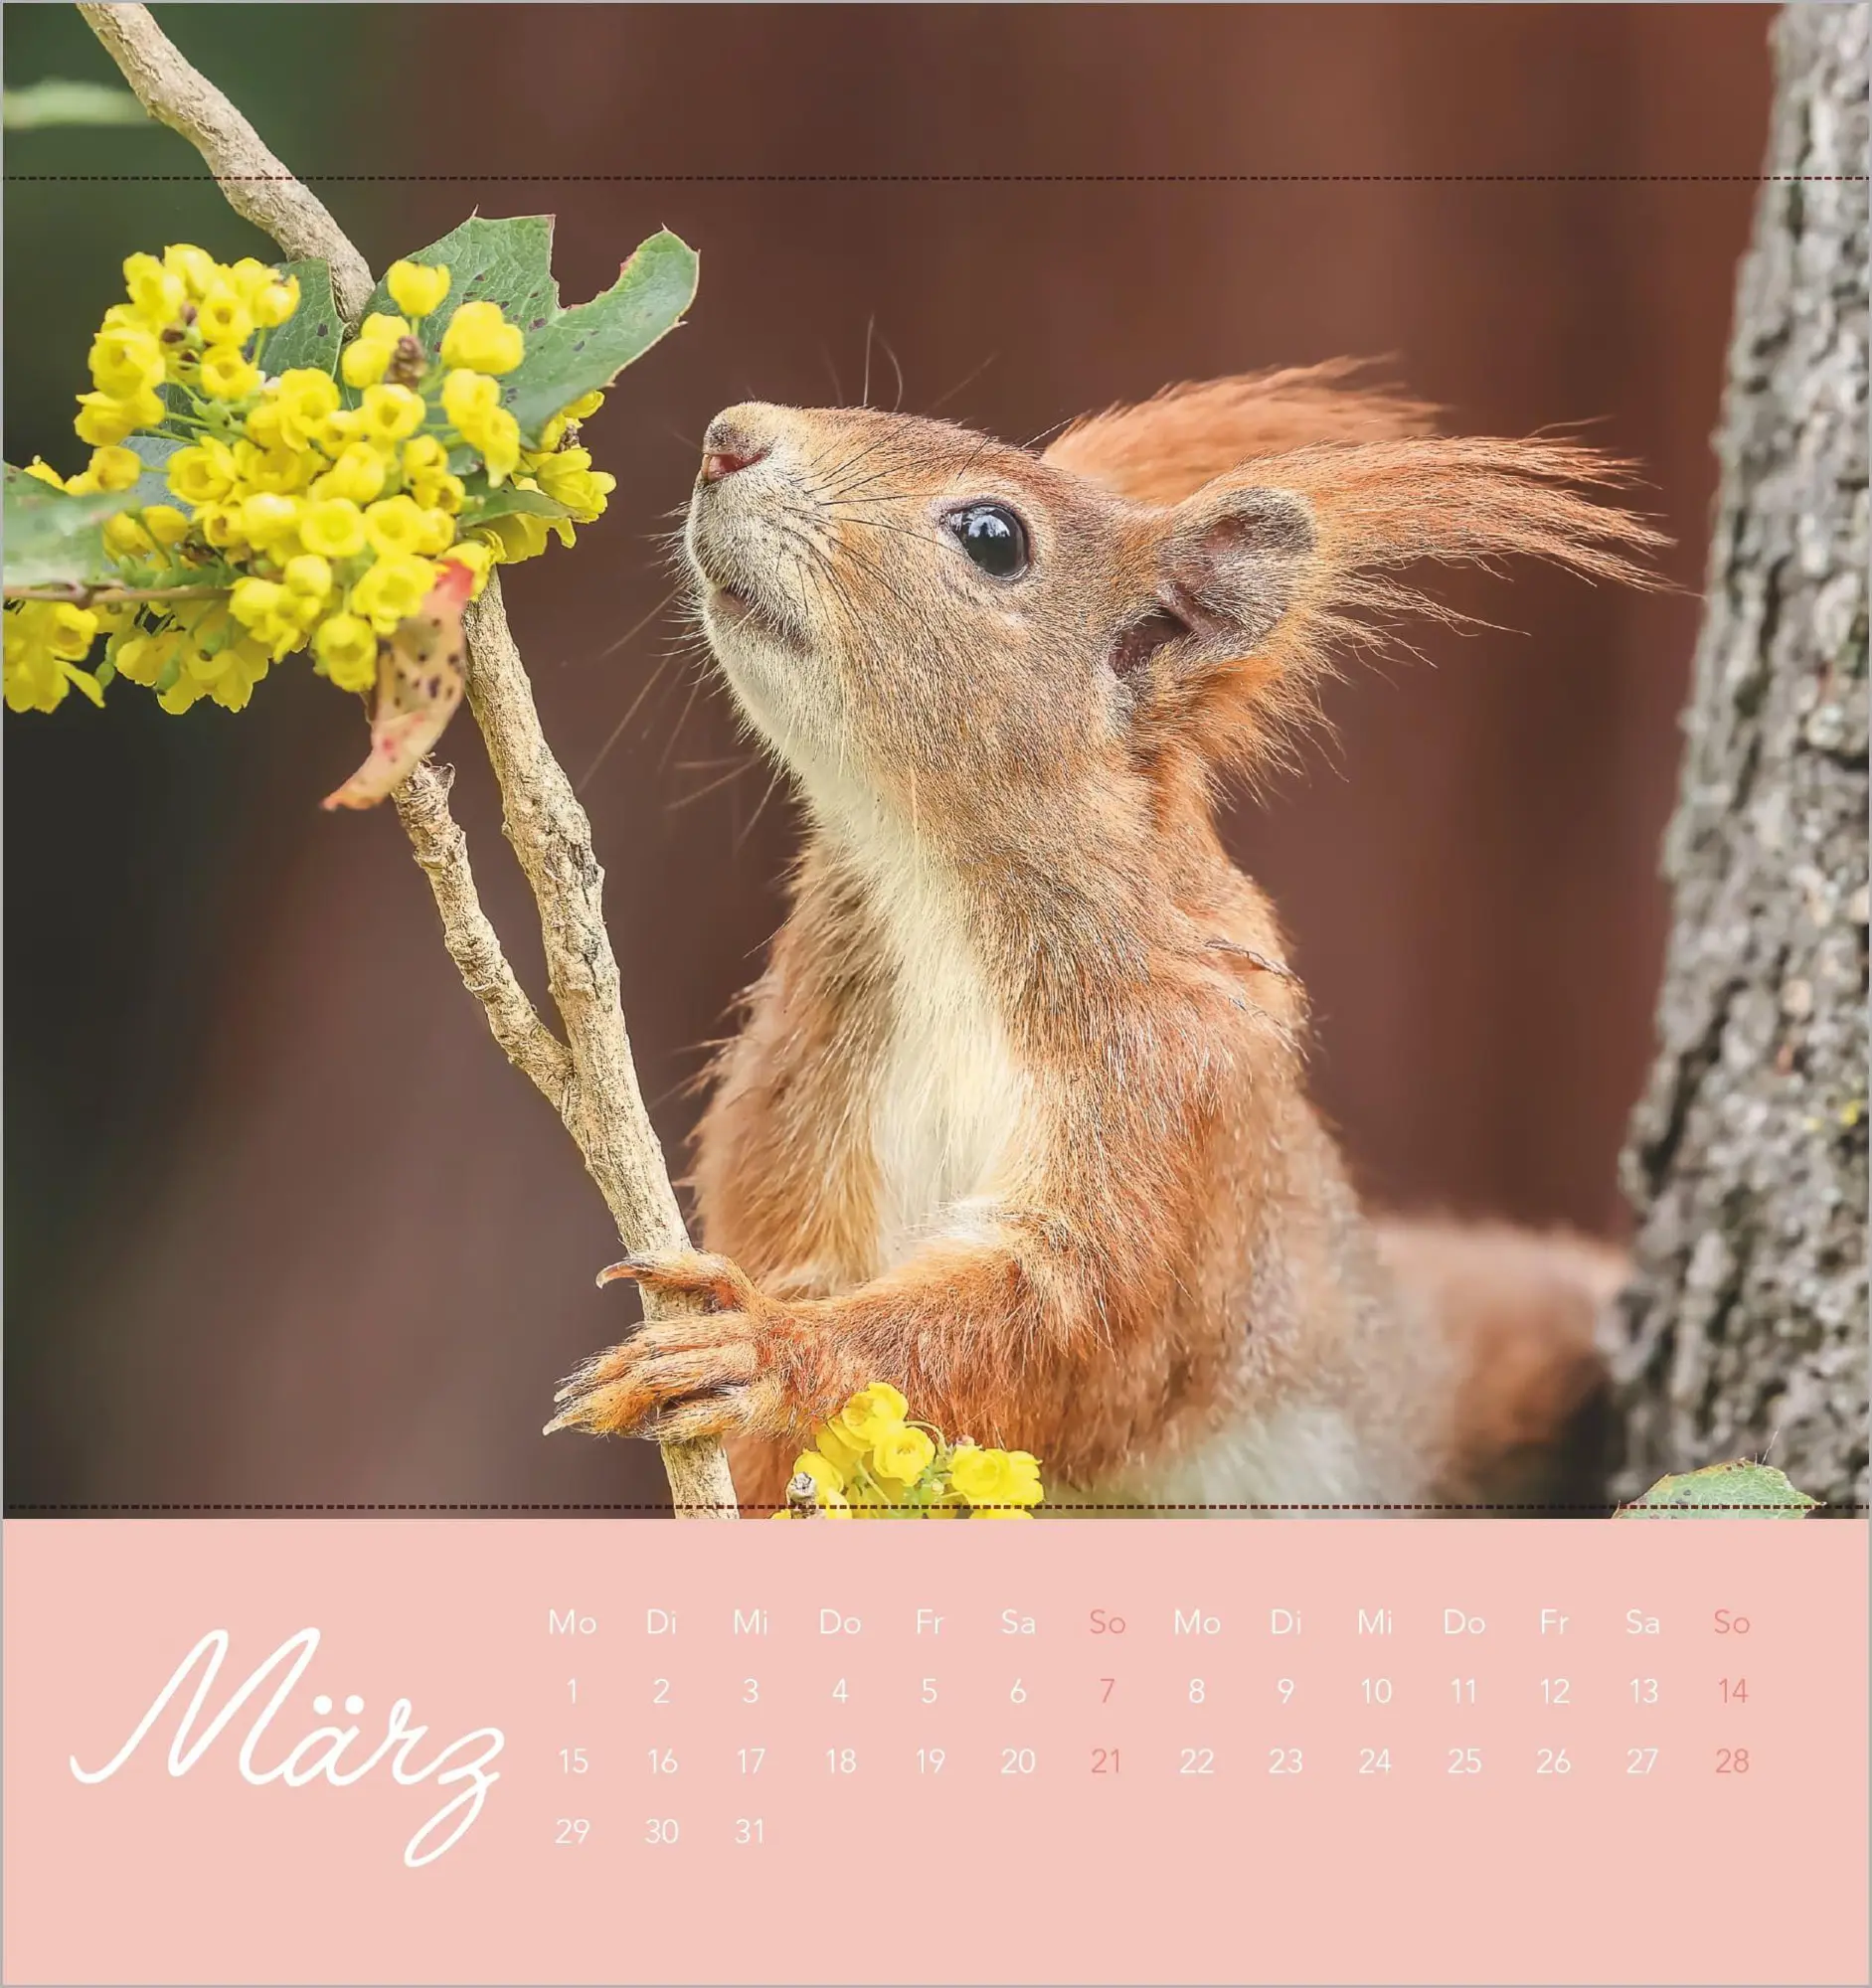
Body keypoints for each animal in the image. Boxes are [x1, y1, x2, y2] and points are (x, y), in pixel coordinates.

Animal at [545, 362, 1661, 1513]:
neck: (932, 890)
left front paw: (762, 1352)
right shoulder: (799, 1084)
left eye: (993, 537)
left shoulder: (1178, 1092)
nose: (730, 438)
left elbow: (1072, 1321)